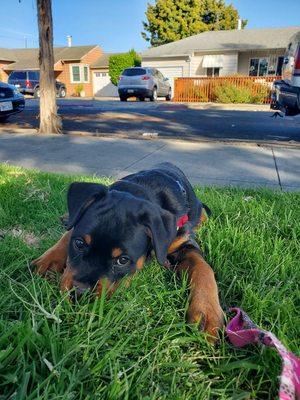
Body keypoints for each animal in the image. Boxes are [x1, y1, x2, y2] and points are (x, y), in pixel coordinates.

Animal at [32, 162, 223, 340]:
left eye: (122, 260)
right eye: (79, 244)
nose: (79, 293)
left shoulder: (185, 244)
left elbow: (203, 268)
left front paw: (206, 312)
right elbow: (69, 232)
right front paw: (48, 261)